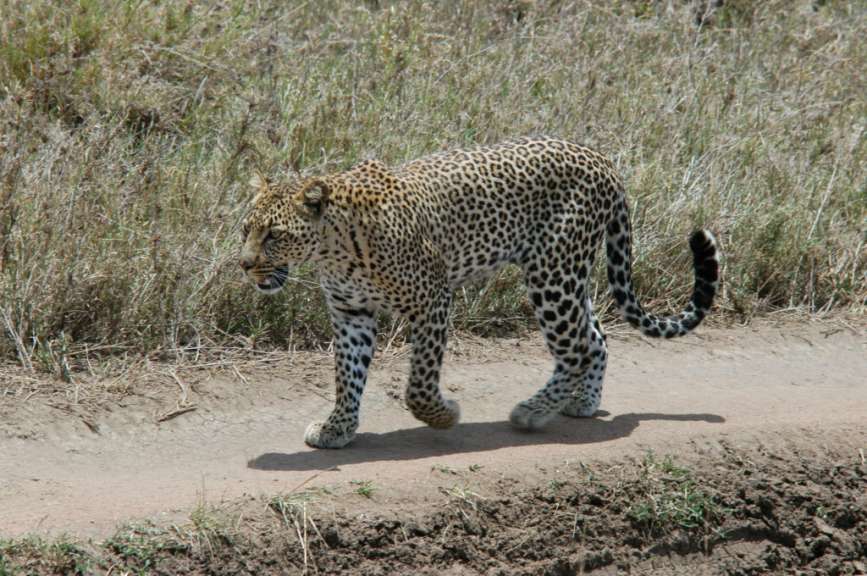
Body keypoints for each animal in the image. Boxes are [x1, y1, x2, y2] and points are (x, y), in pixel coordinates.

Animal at [239, 136, 720, 449]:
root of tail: (600, 158)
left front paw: (444, 415)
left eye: (275, 235)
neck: (334, 248)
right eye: (246, 229)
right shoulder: (350, 312)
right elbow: (347, 376)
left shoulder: (433, 300)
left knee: (578, 347)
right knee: (595, 337)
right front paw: (336, 428)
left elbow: (418, 384)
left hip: (552, 275)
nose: (244, 264)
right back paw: (581, 402)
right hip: (568, 273)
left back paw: (533, 411)